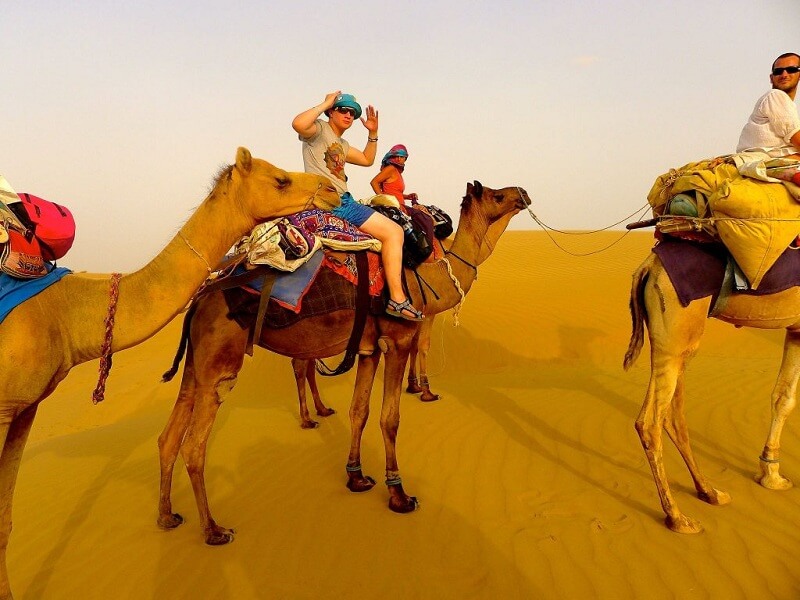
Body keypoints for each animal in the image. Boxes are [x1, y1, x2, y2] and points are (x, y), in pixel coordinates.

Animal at [0, 146, 338, 600]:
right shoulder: (5, 407)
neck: (64, 313)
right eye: (280, 179)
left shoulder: (24, 408)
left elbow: (5, 520)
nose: (333, 191)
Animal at [156, 178, 532, 544]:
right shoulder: (398, 340)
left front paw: (357, 477)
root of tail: (199, 299)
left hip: (197, 364)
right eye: (497, 196)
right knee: (194, 445)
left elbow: (359, 411)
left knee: (169, 436)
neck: (429, 274)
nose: (523, 193)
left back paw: (167, 516)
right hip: (220, 364)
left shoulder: (368, 349)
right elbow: (390, 418)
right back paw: (213, 529)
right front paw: (399, 494)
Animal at [624, 248, 800, 536]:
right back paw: (678, 517)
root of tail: (648, 266)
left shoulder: (797, 330)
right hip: (676, 332)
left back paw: (710, 492)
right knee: (650, 423)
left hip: (676, 344)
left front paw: (771, 477)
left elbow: (783, 397)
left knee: (672, 416)